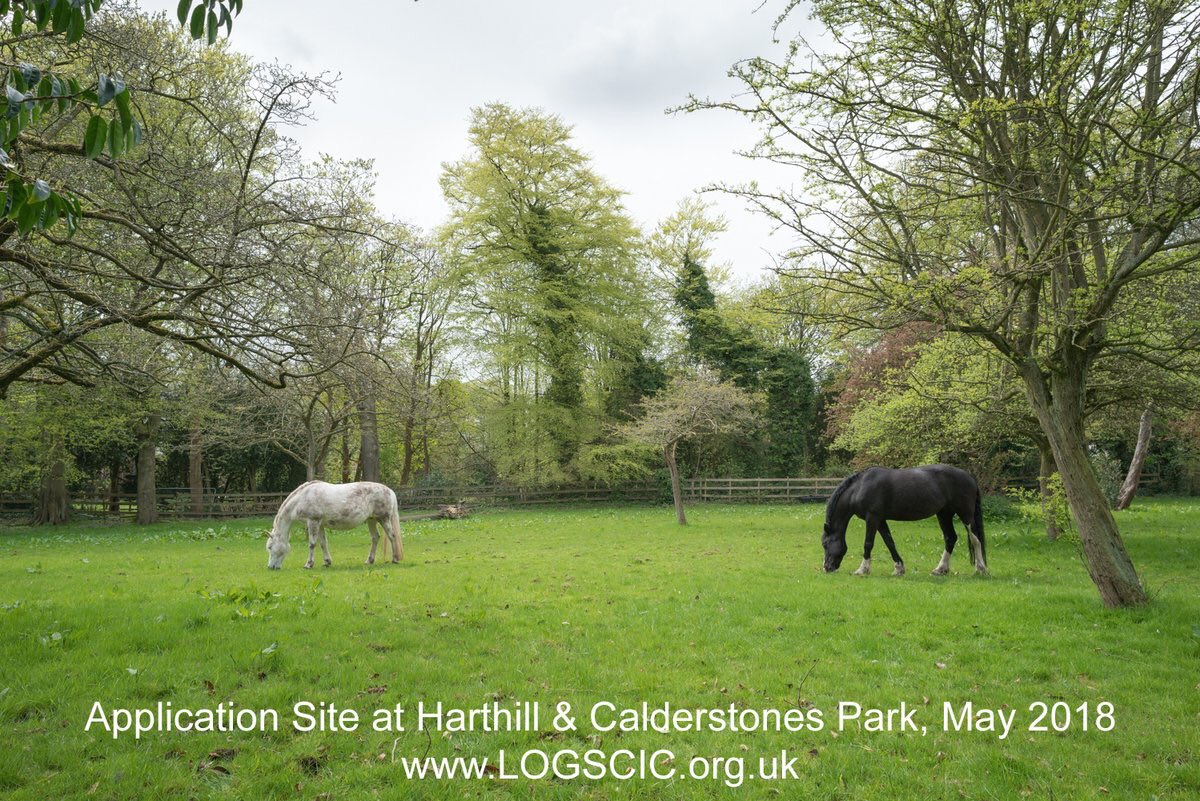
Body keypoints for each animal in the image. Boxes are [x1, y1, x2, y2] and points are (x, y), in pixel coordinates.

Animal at [266, 482, 405, 568]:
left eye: (270, 547)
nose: (271, 567)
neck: (302, 498)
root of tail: (390, 491)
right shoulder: (320, 525)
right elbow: (323, 543)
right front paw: (327, 562)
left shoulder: (313, 522)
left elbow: (312, 544)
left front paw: (309, 564)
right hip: (372, 520)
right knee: (375, 538)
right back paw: (369, 561)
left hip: (383, 519)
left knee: (392, 536)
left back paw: (394, 559)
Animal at [825, 465, 984, 577]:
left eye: (825, 544)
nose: (827, 567)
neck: (860, 488)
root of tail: (970, 477)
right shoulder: (880, 520)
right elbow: (889, 542)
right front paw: (899, 568)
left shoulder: (872, 518)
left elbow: (868, 544)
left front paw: (862, 569)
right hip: (944, 514)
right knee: (950, 538)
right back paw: (940, 569)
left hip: (965, 515)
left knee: (975, 539)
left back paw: (980, 569)